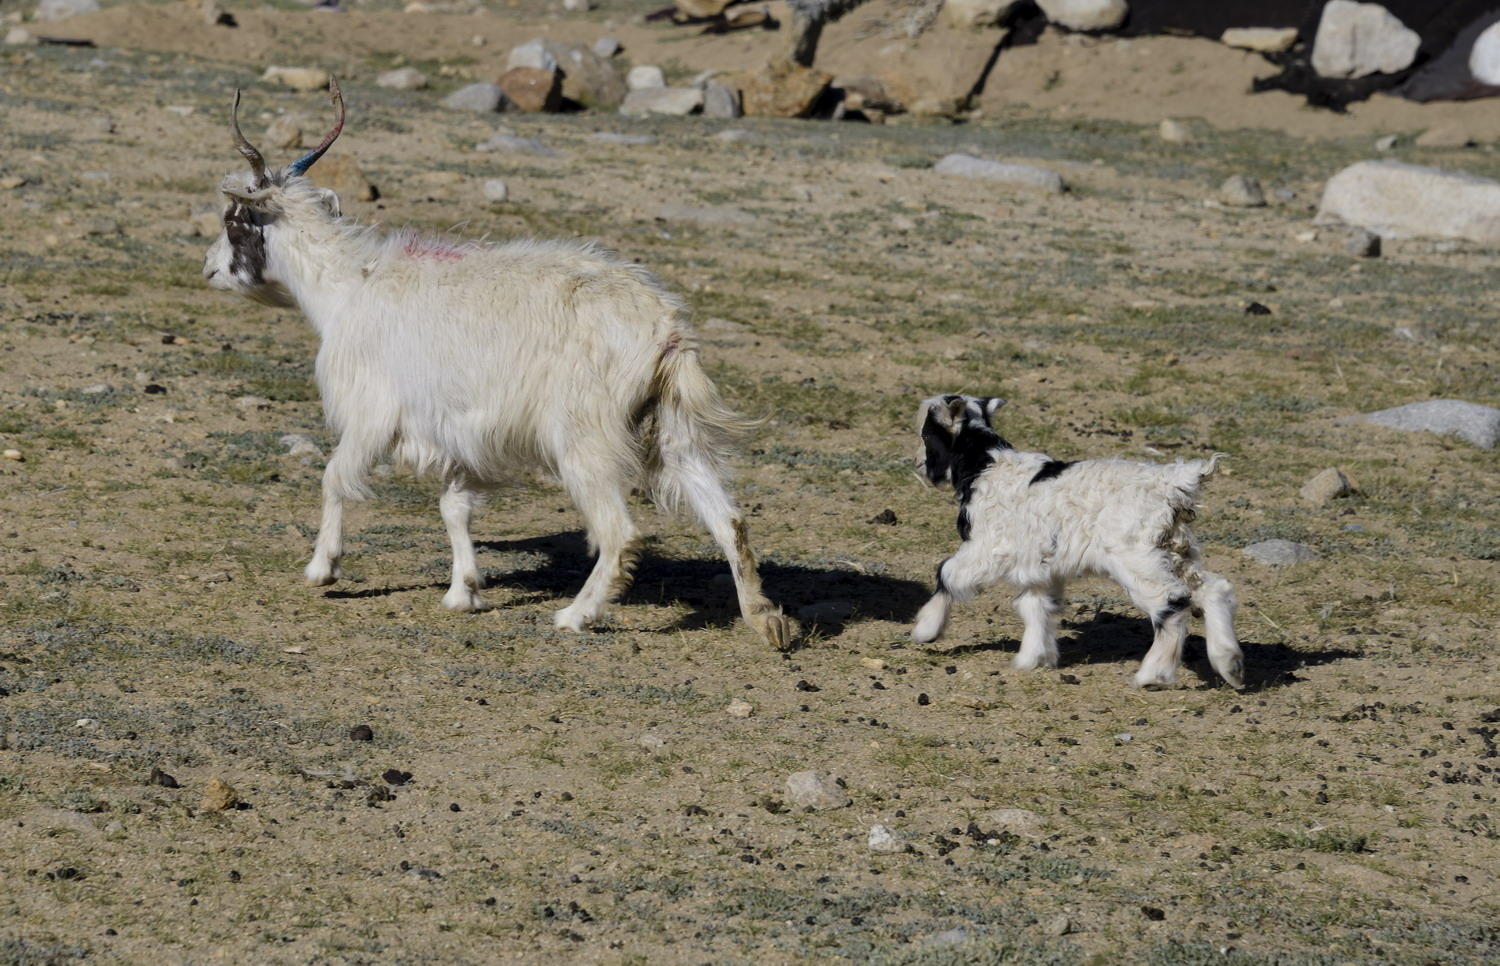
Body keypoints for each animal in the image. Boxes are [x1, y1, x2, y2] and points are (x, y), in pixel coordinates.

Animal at [207, 79, 804, 645]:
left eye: (235, 220)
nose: (209, 269)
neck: (348, 287)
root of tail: (666, 331)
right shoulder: (457, 430)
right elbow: (454, 506)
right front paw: (463, 592)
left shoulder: (373, 411)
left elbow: (334, 477)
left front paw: (322, 569)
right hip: (671, 428)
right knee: (729, 519)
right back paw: (767, 622)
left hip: (585, 439)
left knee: (620, 533)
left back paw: (576, 615)